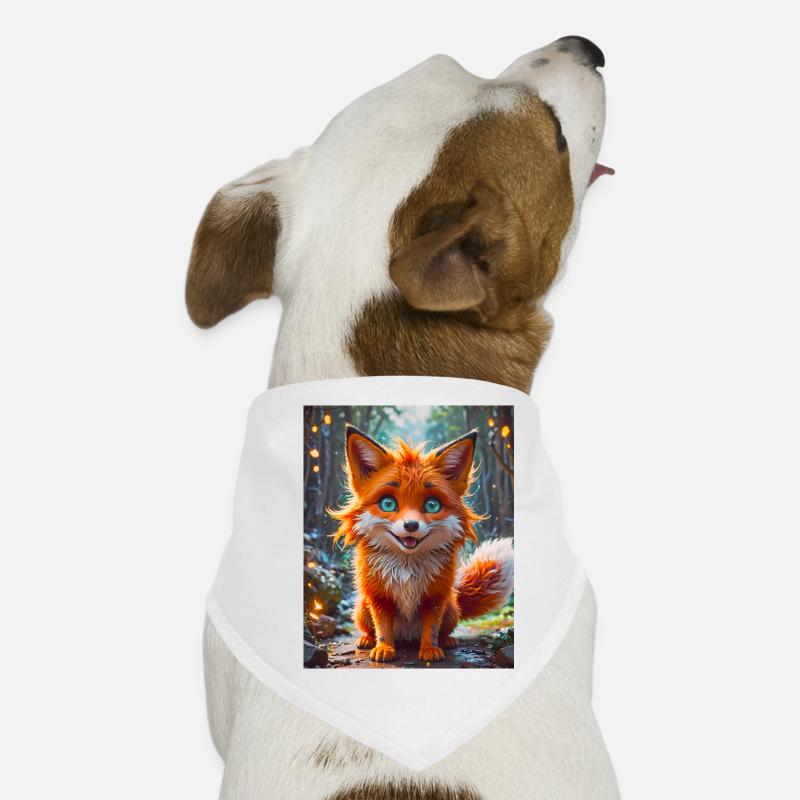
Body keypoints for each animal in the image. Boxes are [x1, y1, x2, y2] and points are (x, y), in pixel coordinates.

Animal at [330, 423, 514, 664]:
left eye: (432, 505)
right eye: (388, 503)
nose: (411, 525)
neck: (407, 569)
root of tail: (407, 638)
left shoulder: (435, 598)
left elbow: (431, 629)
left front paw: (429, 650)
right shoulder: (379, 597)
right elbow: (383, 628)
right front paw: (384, 648)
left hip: (451, 609)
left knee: (444, 629)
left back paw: (447, 641)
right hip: (362, 608)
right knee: (369, 628)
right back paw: (367, 639)